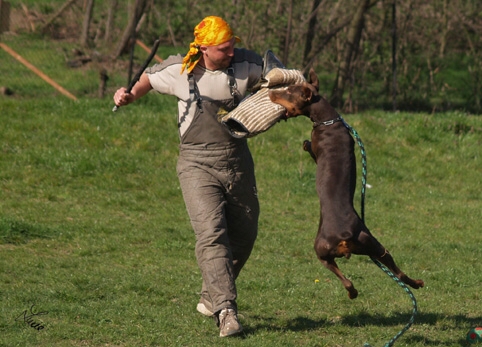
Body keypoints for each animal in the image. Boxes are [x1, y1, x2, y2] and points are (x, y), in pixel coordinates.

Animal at [270, 70, 424, 300]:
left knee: (357, 276)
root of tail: (342, 236)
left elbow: (308, 145)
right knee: (375, 273)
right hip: (363, 246)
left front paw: (305, 143)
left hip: (325, 247)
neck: (328, 120)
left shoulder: (315, 151)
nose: (270, 93)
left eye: (289, 92)